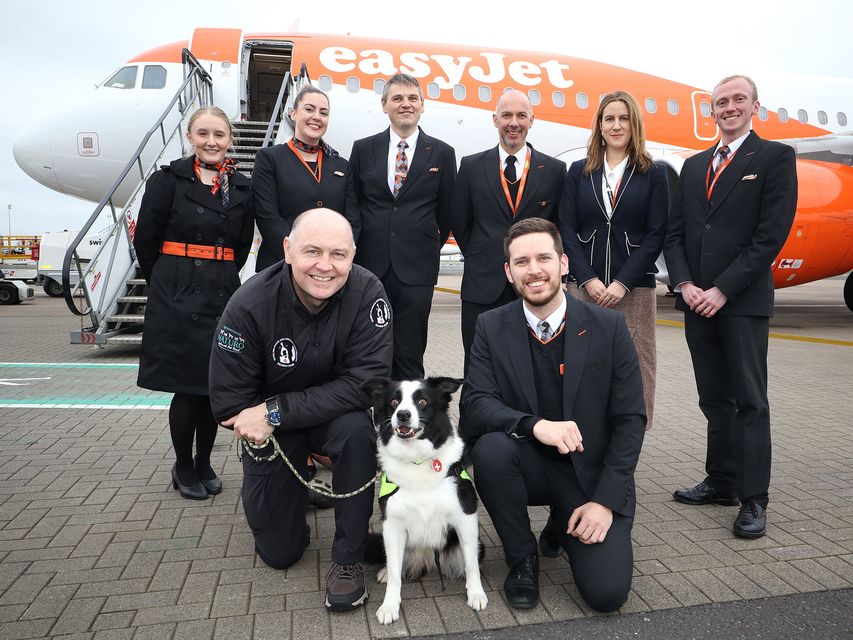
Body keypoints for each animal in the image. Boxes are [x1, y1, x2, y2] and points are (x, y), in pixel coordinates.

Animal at [362, 376, 490, 624]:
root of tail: (429, 558)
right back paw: (384, 571)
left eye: (422, 401)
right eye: (394, 402)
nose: (403, 415)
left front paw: (476, 594)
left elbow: (471, 565)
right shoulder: (392, 525)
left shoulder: (465, 517)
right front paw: (389, 606)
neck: (417, 460)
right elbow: (395, 572)